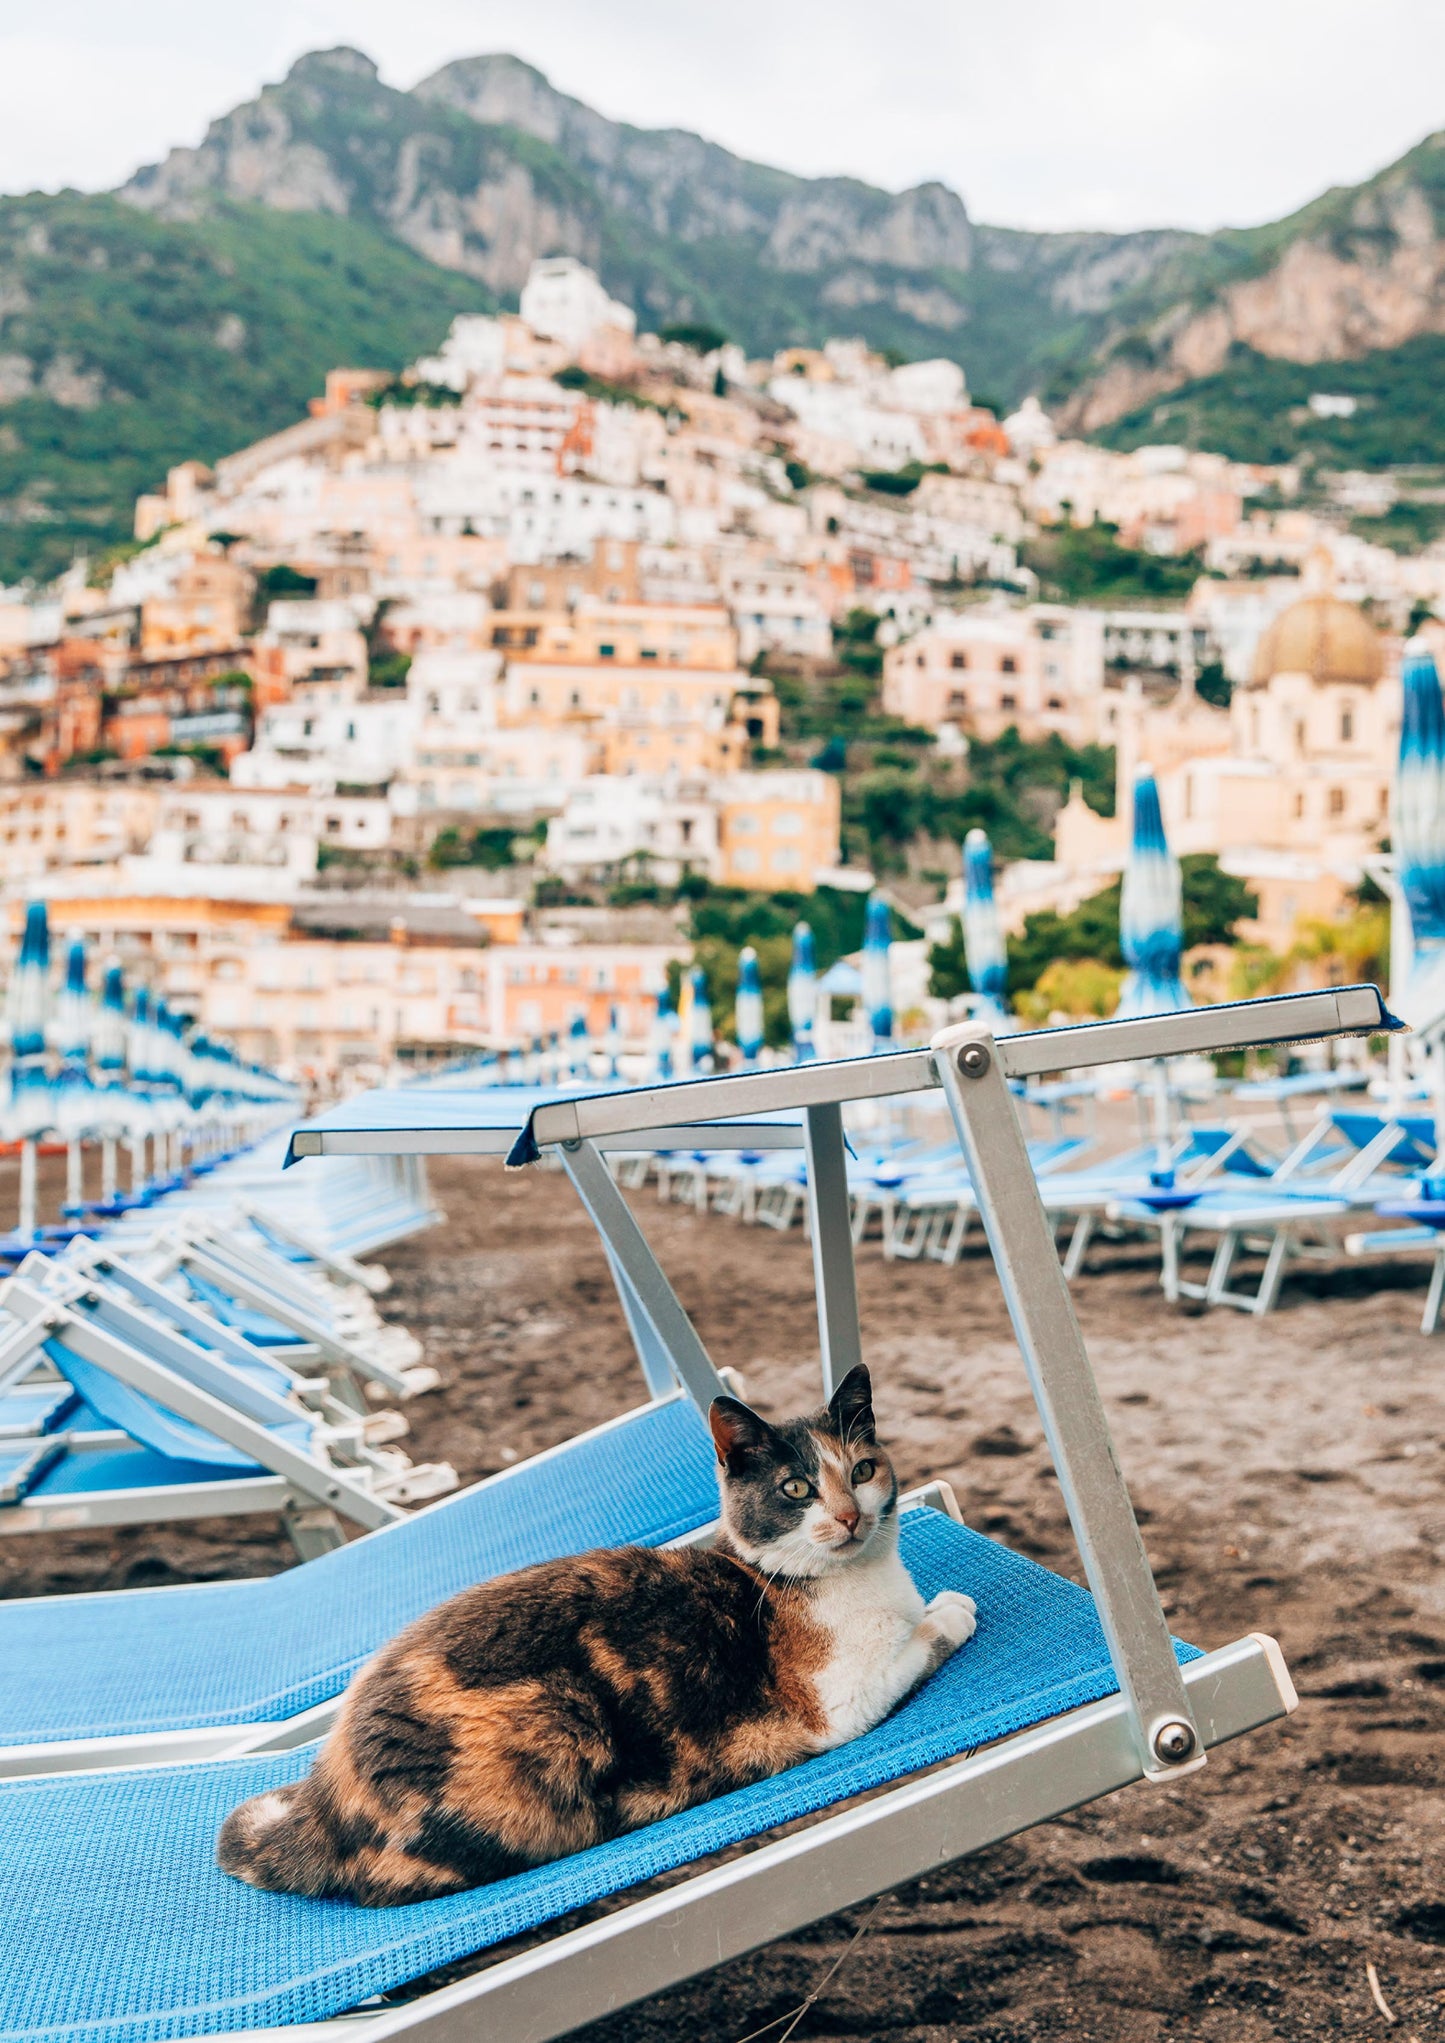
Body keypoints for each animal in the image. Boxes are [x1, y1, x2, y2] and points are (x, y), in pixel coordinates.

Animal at [214, 1364, 976, 1904]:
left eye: (862, 1470)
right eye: (796, 1489)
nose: (849, 1515)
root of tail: (324, 1795)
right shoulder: (836, 1704)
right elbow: (922, 1640)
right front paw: (950, 1609)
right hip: (557, 1716)